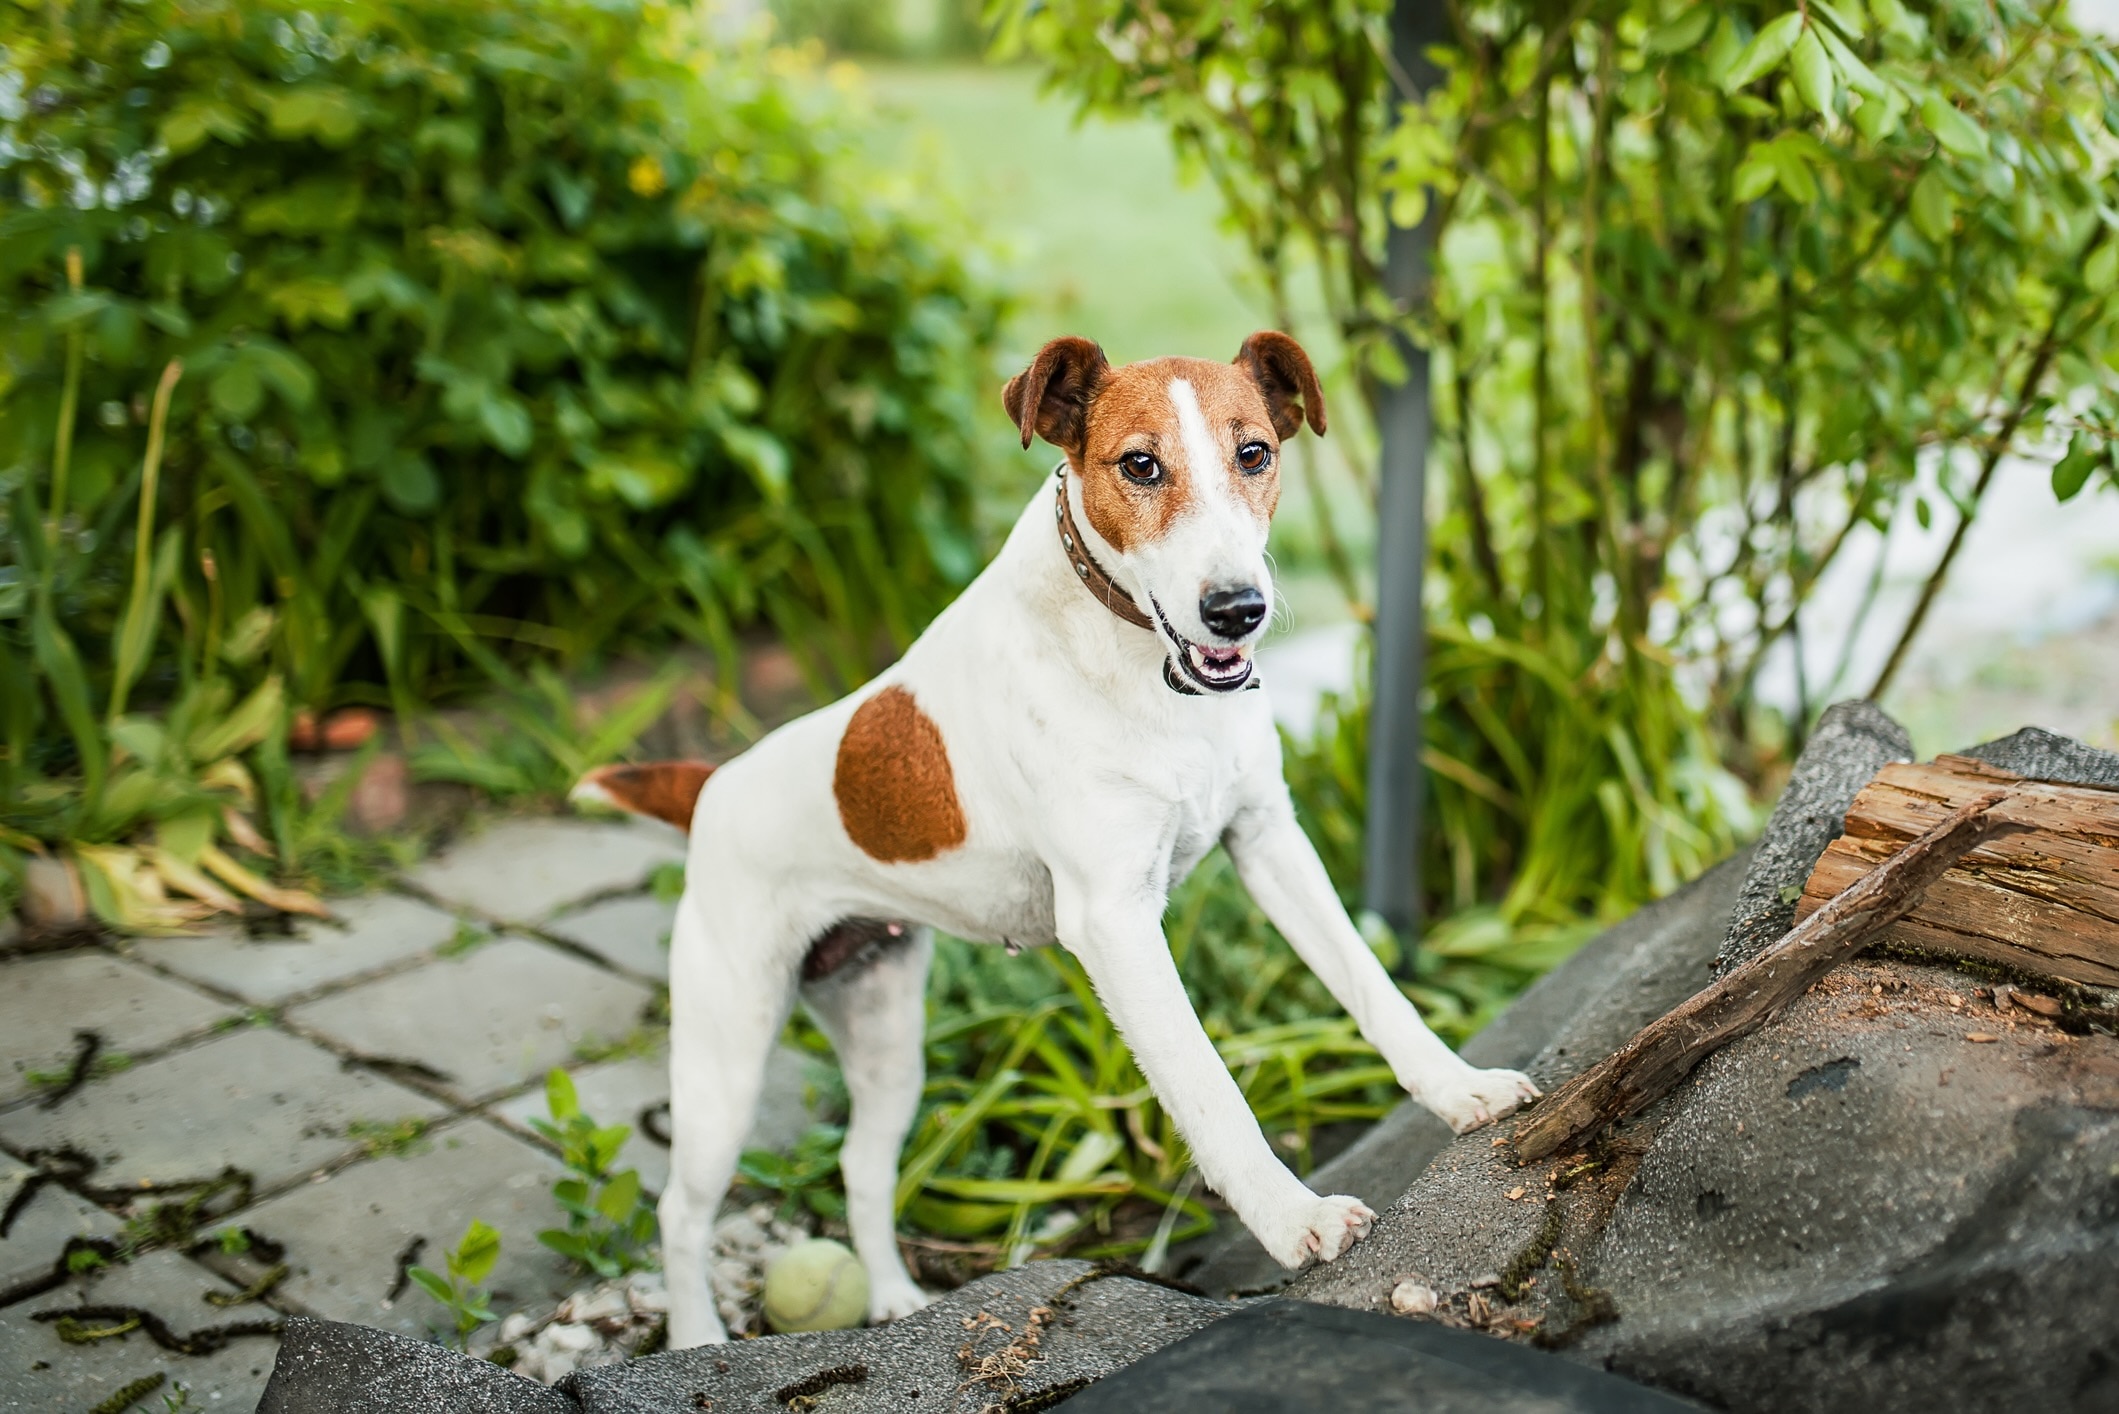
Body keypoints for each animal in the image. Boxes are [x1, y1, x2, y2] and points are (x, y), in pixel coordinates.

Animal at [580, 334, 1542, 1348]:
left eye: (1253, 453)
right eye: (1140, 466)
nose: (1236, 609)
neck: (1144, 667)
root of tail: (714, 784)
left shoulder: (1270, 842)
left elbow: (1370, 984)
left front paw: (1459, 1090)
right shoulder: (1113, 921)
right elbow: (1208, 1086)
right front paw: (1293, 1220)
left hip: (885, 1034)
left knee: (861, 1168)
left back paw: (892, 1299)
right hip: (725, 1057)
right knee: (681, 1211)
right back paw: (695, 1338)